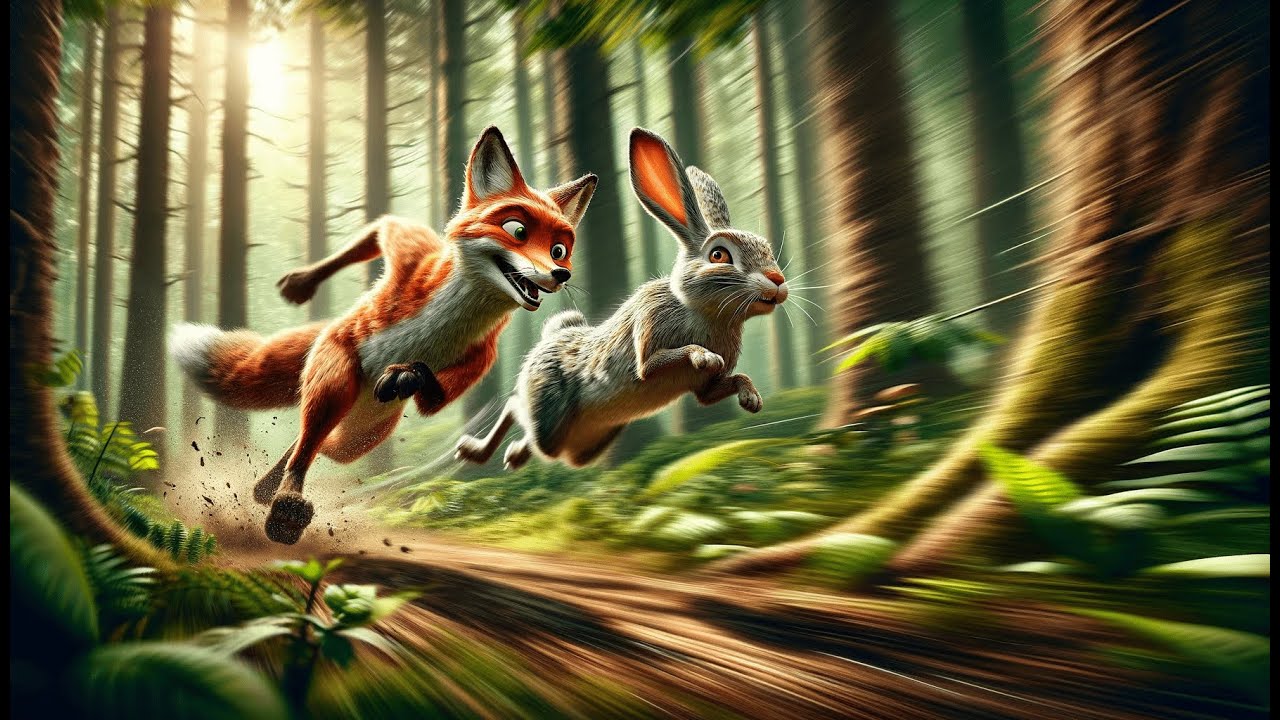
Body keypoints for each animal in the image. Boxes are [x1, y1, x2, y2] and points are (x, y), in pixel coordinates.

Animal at [171, 127, 597, 545]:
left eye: (559, 250)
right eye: (517, 230)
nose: (561, 275)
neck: (447, 324)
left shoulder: (479, 360)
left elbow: (430, 396)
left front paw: (407, 374)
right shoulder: (409, 259)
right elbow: (382, 227)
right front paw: (303, 282)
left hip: (360, 437)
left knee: (318, 443)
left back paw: (266, 489)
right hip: (335, 375)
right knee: (309, 436)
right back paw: (285, 505)